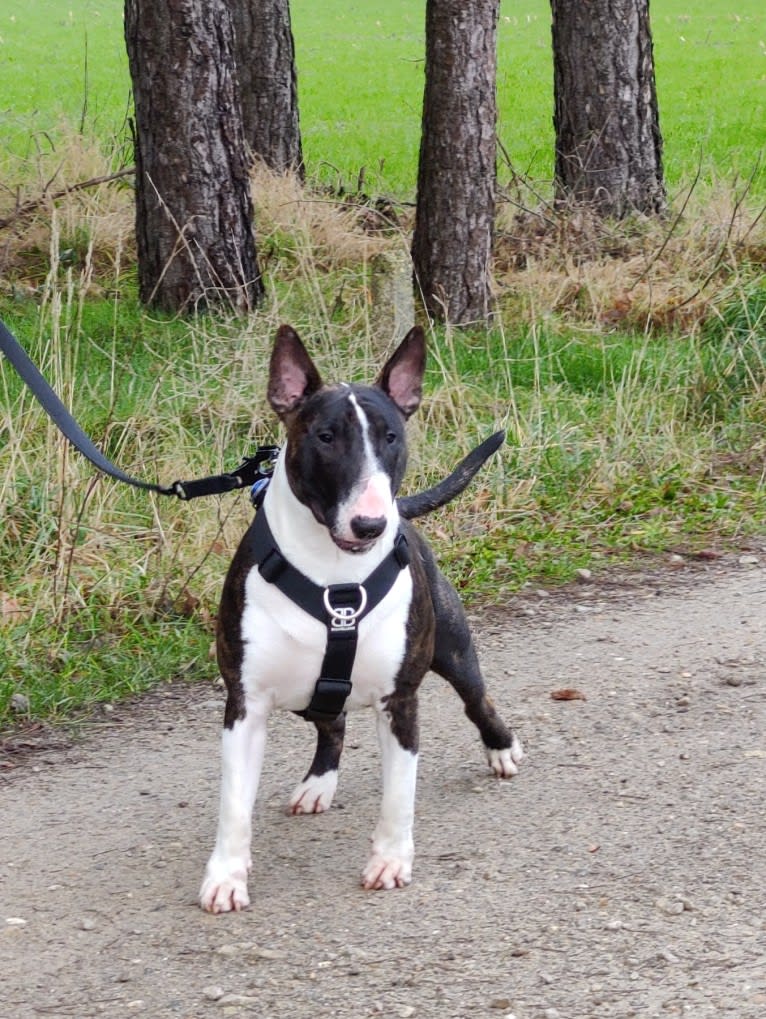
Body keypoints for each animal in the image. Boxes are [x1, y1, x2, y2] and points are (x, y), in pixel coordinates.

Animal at [197, 326, 525, 917]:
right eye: (325, 436)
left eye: (391, 436)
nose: (371, 524)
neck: (335, 575)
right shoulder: (246, 702)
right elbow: (234, 803)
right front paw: (227, 877)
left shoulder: (401, 700)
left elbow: (400, 794)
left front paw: (390, 861)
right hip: (308, 691)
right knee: (333, 723)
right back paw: (318, 785)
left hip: (453, 649)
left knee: (476, 697)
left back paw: (501, 747)